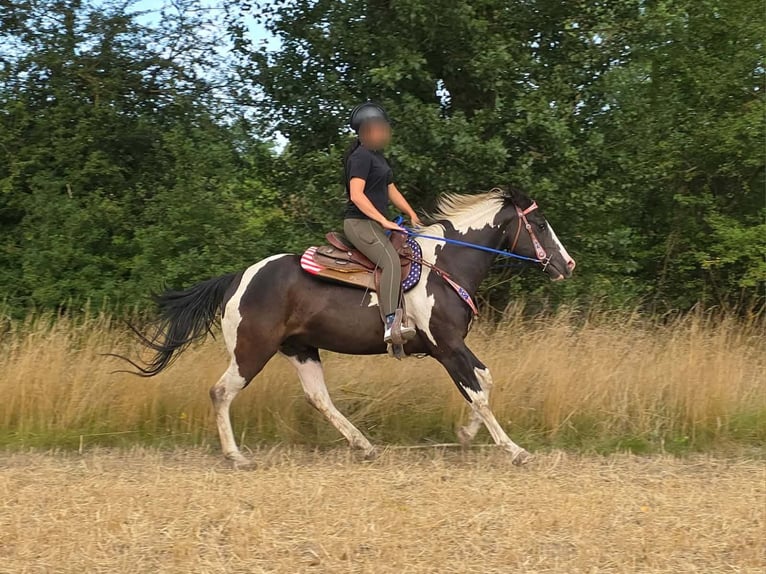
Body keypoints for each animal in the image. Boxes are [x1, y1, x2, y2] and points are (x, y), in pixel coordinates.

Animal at [122, 186, 575, 466]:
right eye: (538, 225)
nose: (566, 264)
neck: (445, 264)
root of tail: (239, 278)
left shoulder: (451, 348)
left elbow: (485, 381)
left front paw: (465, 436)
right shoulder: (446, 346)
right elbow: (479, 391)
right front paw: (514, 450)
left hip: (301, 348)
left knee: (318, 397)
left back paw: (364, 446)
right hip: (252, 350)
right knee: (221, 393)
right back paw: (236, 457)